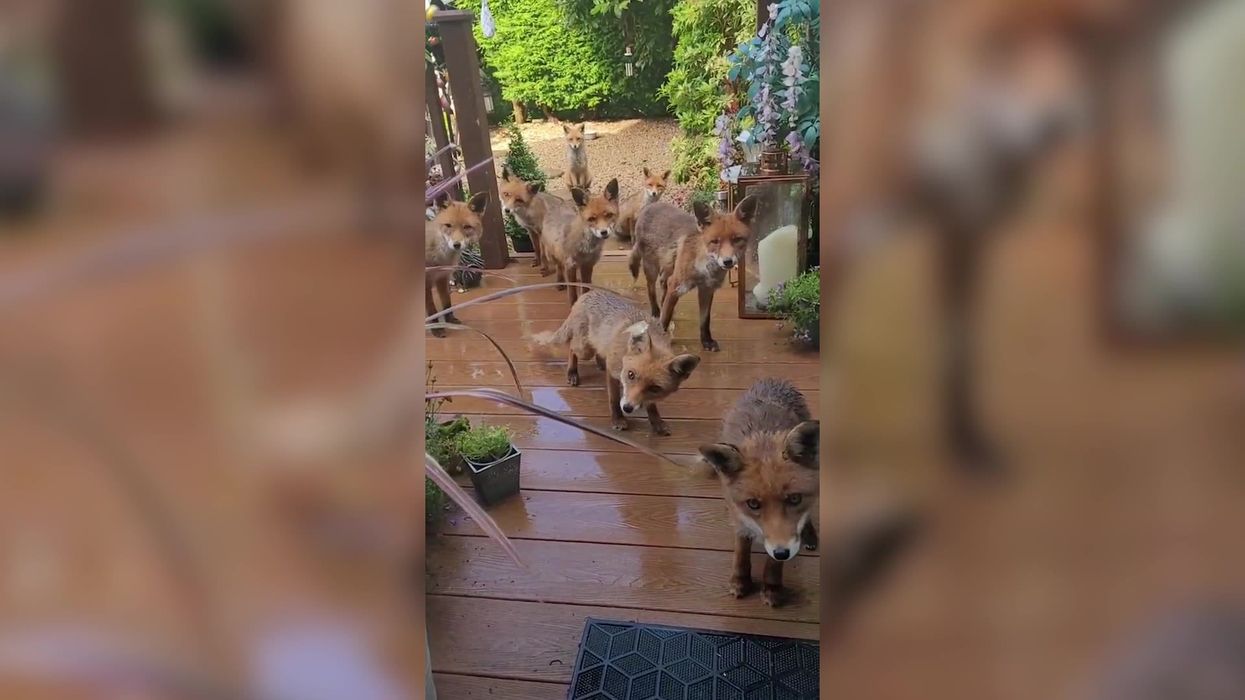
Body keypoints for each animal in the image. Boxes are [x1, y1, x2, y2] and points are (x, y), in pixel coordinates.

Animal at [426, 191, 488, 336]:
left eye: (467, 227)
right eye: (448, 225)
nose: (457, 245)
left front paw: (450, 320)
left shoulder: (442, 278)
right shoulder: (426, 282)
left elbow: (446, 303)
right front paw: (436, 328)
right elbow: (431, 309)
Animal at [534, 290, 700, 435]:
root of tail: (586, 294)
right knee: (572, 347)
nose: (628, 408)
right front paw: (618, 419)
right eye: (631, 375)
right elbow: (614, 400)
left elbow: (651, 405)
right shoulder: (613, 372)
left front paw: (656, 422)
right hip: (584, 349)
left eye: (654, 388)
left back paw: (599, 361)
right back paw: (572, 372)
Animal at [629, 196, 758, 351]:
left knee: (663, 284)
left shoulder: (707, 289)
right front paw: (660, 339)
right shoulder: (677, 285)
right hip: (652, 267)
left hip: (669, 267)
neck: (703, 268)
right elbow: (664, 319)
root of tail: (650, 206)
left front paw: (706, 342)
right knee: (651, 290)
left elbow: (704, 321)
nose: (728, 262)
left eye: (737, 239)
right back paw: (655, 311)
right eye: (715, 241)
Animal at [698, 378, 819, 608]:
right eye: (753, 504)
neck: (763, 439)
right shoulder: (739, 515)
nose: (783, 553)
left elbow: (773, 564)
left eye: (795, 499)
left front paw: (772, 587)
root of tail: (772, 380)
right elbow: (741, 552)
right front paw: (740, 581)